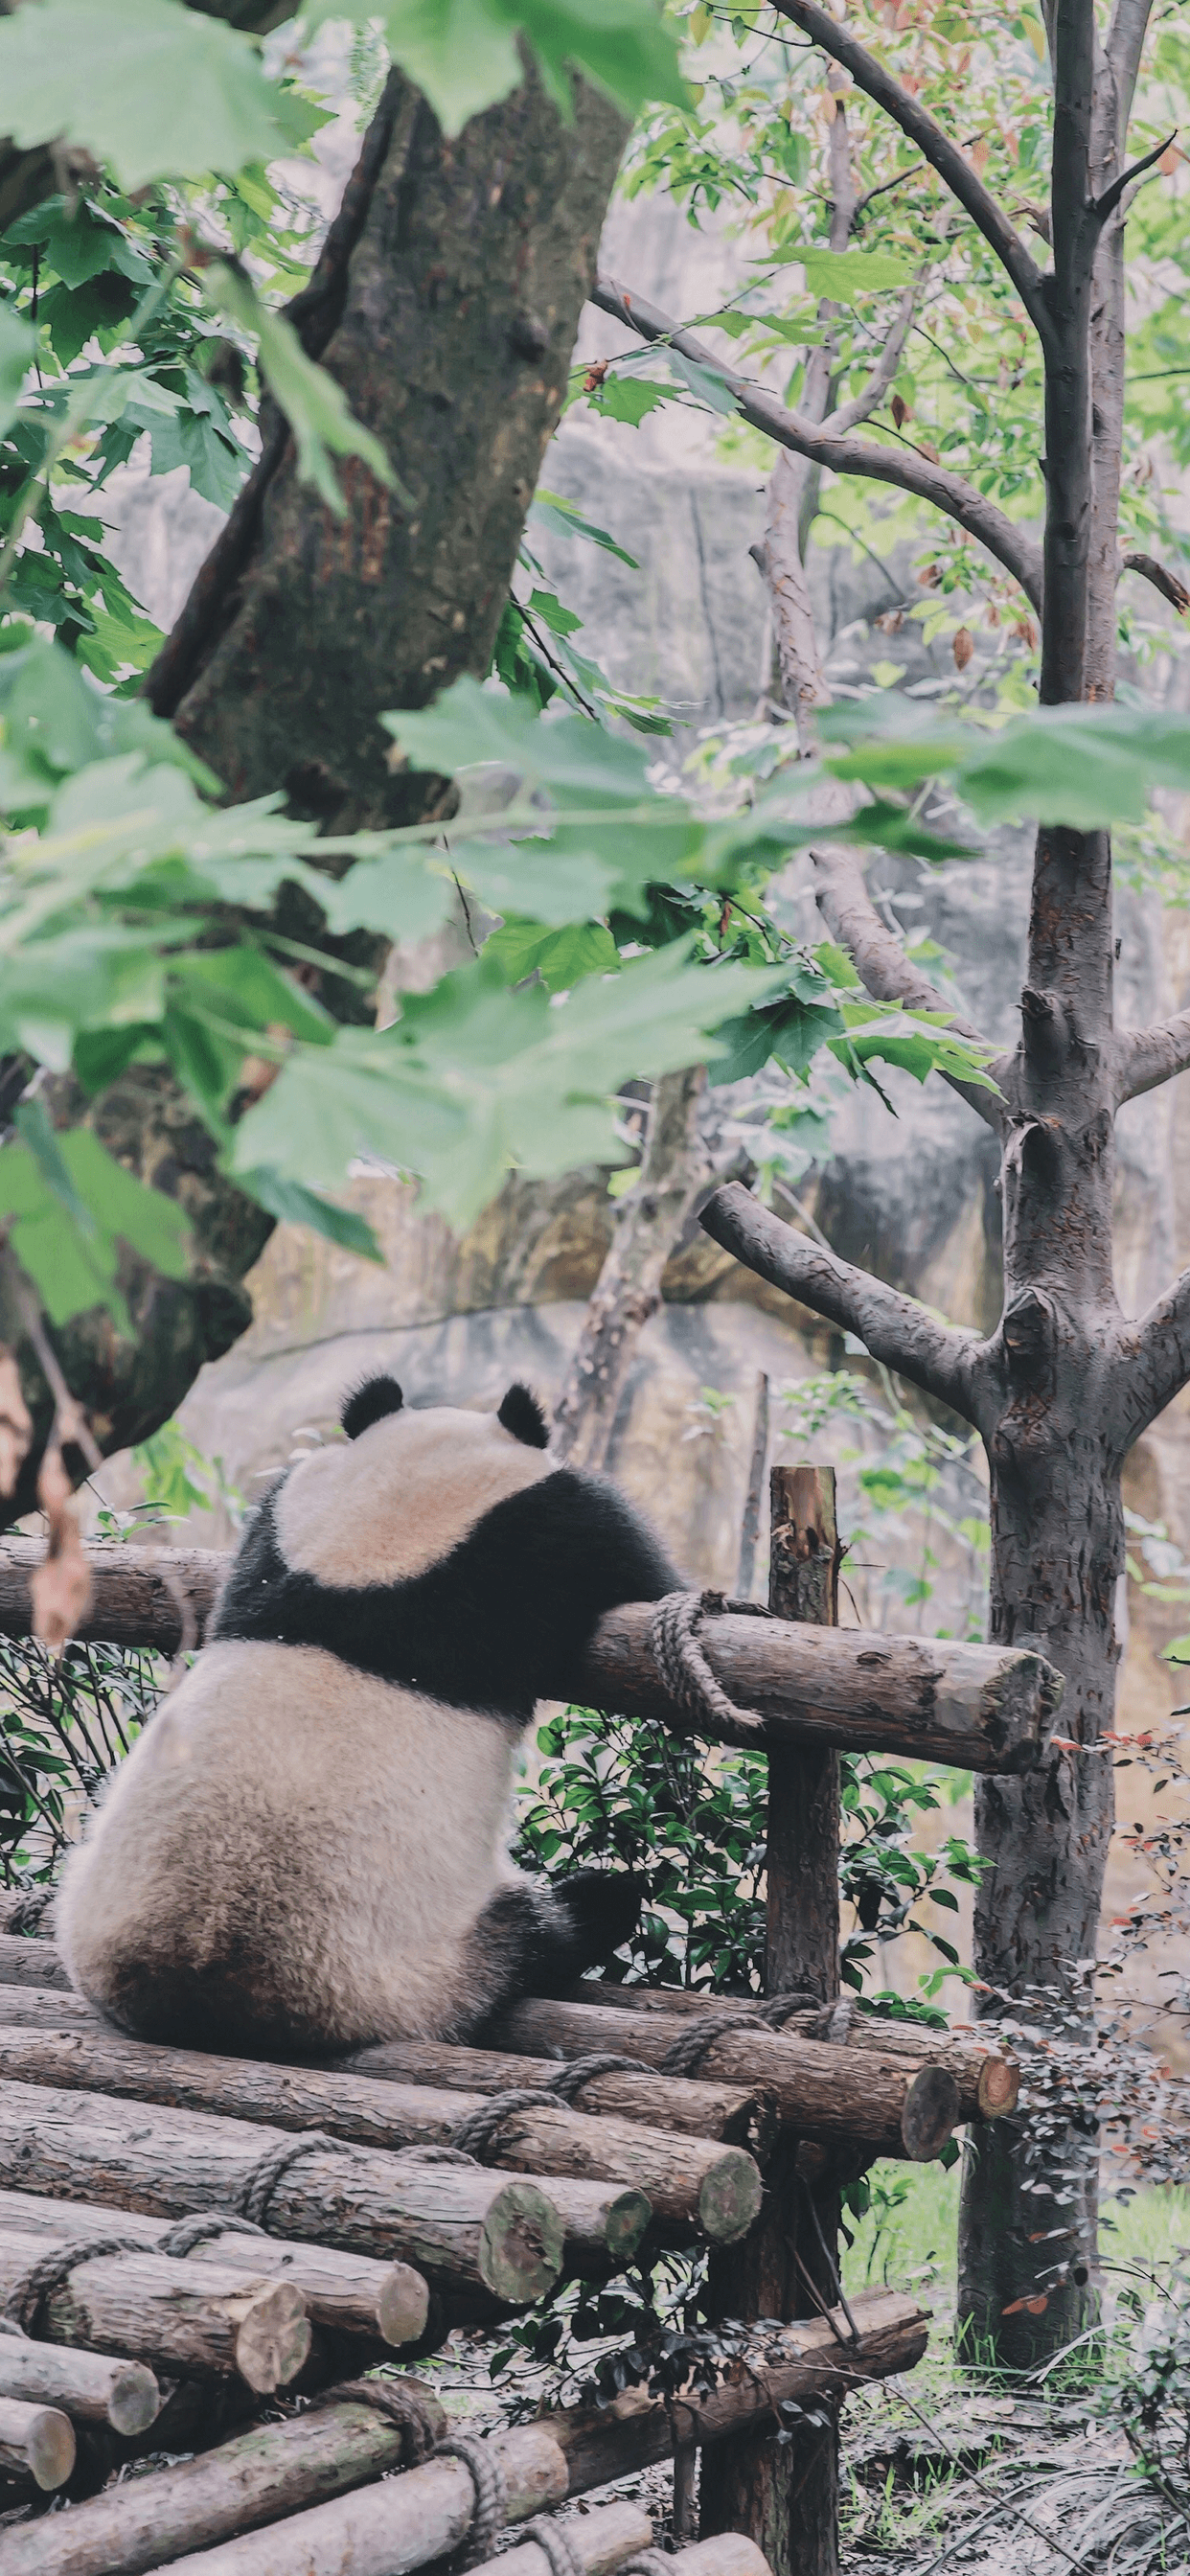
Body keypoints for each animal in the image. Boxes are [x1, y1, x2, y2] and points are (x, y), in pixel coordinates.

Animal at [57, 1375, 681, 2057]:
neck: (380, 1534)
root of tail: (194, 1988)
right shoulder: (550, 1528)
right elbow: (642, 1572)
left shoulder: (280, 1526)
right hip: (412, 1967)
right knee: (541, 1934)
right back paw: (596, 1904)